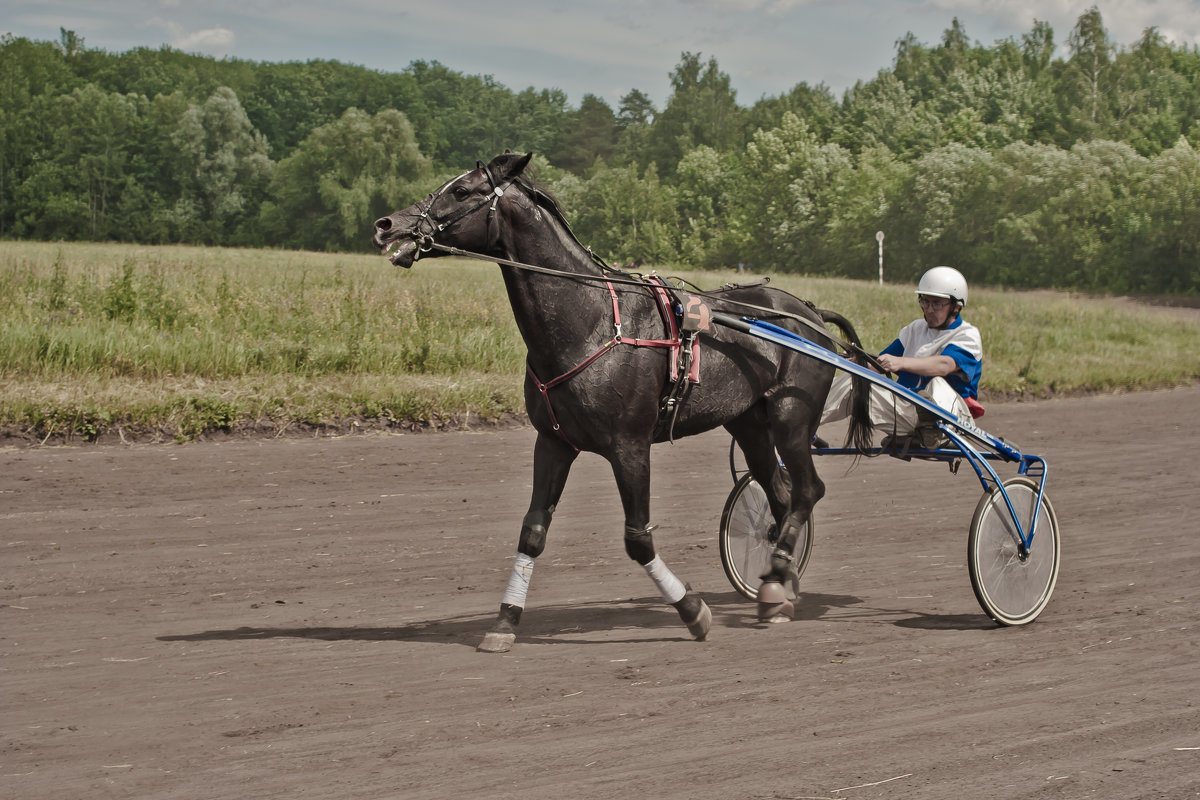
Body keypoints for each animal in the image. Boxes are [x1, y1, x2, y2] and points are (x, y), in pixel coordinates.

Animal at [369, 151, 868, 652]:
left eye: (462, 191)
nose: (387, 224)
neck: (588, 320)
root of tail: (808, 312)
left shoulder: (629, 446)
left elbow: (638, 539)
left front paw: (693, 611)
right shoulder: (553, 442)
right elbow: (532, 532)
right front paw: (504, 622)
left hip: (791, 416)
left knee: (807, 490)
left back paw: (777, 577)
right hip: (750, 425)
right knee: (781, 496)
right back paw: (780, 586)